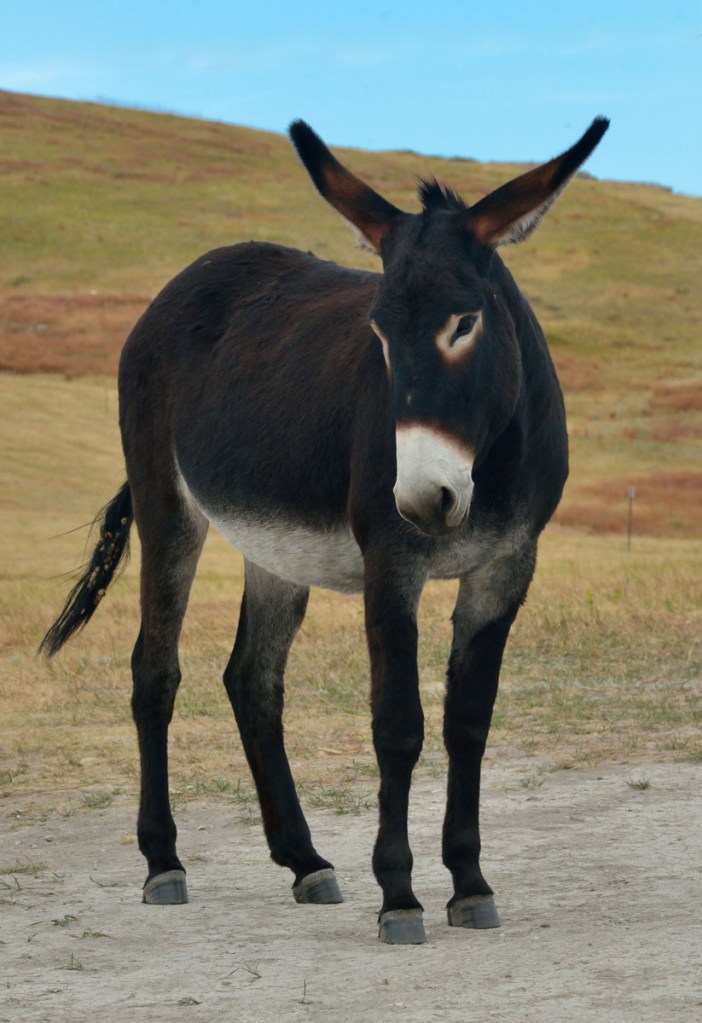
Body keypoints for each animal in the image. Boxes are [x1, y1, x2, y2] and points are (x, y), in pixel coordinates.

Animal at [41, 115, 608, 944]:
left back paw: (305, 860)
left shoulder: (506, 568)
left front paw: (469, 883)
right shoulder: (390, 566)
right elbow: (398, 723)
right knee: (155, 669)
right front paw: (400, 897)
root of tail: (194, 273)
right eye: (377, 332)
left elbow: (468, 722)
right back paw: (163, 863)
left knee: (252, 677)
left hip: (275, 545)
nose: (425, 499)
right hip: (166, 504)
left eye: (465, 323)